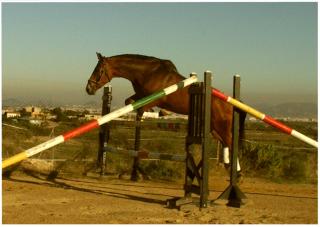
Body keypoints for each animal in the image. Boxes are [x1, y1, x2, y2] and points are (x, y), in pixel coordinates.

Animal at [85, 53, 245, 176]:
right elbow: (129, 101)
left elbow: (143, 109)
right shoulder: (141, 95)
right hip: (215, 128)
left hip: (222, 126)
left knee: (231, 143)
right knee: (226, 143)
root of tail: (233, 103)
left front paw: (159, 113)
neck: (146, 73)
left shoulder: (154, 98)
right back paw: (230, 168)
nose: (88, 88)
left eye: (99, 70)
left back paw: (237, 173)